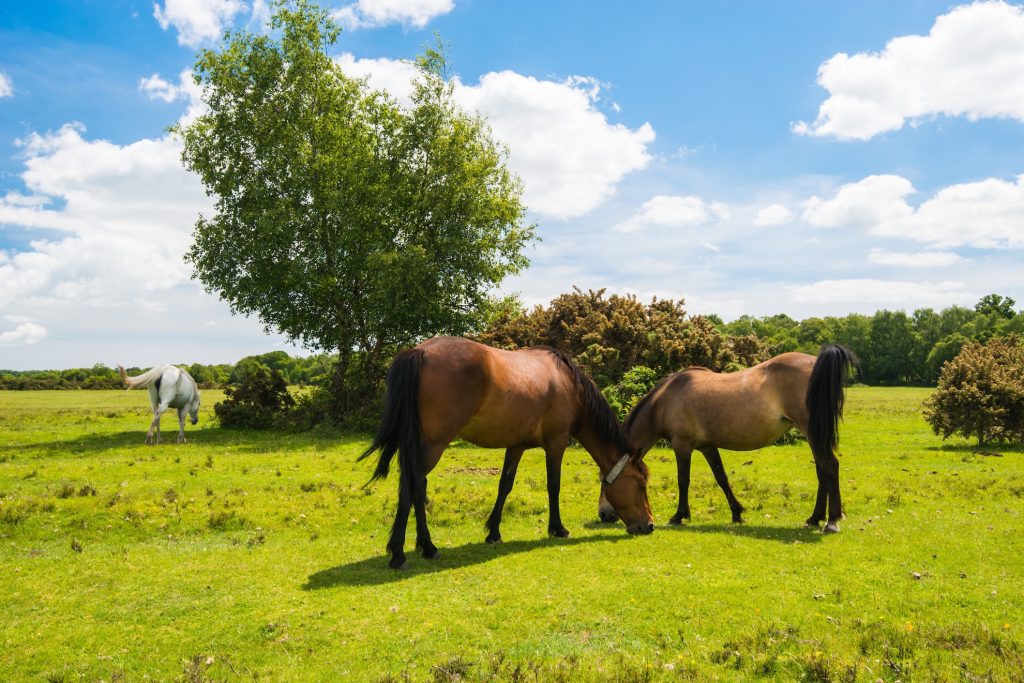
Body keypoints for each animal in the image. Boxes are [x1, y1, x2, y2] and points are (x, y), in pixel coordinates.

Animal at [360, 336, 655, 569]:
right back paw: (402, 553)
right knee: (413, 485)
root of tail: (419, 352)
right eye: (641, 484)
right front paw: (557, 528)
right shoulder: (556, 443)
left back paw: (425, 547)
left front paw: (493, 532)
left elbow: (505, 485)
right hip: (434, 444)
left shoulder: (516, 446)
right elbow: (554, 485)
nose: (649, 525)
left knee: (415, 486)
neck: (569, 384)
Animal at [597, 345, 857, 533]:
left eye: (604, 479)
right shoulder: (707, 446)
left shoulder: (682, 445)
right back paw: (814, 518)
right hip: (814, 433)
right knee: (822, 470)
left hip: (812, 431)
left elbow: (683, 480)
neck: (665, 400)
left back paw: (832, 520)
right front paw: (737, 512)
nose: (603, 515)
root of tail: (816, 362)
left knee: (829, 466)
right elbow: (721, 478)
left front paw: (679, 515)